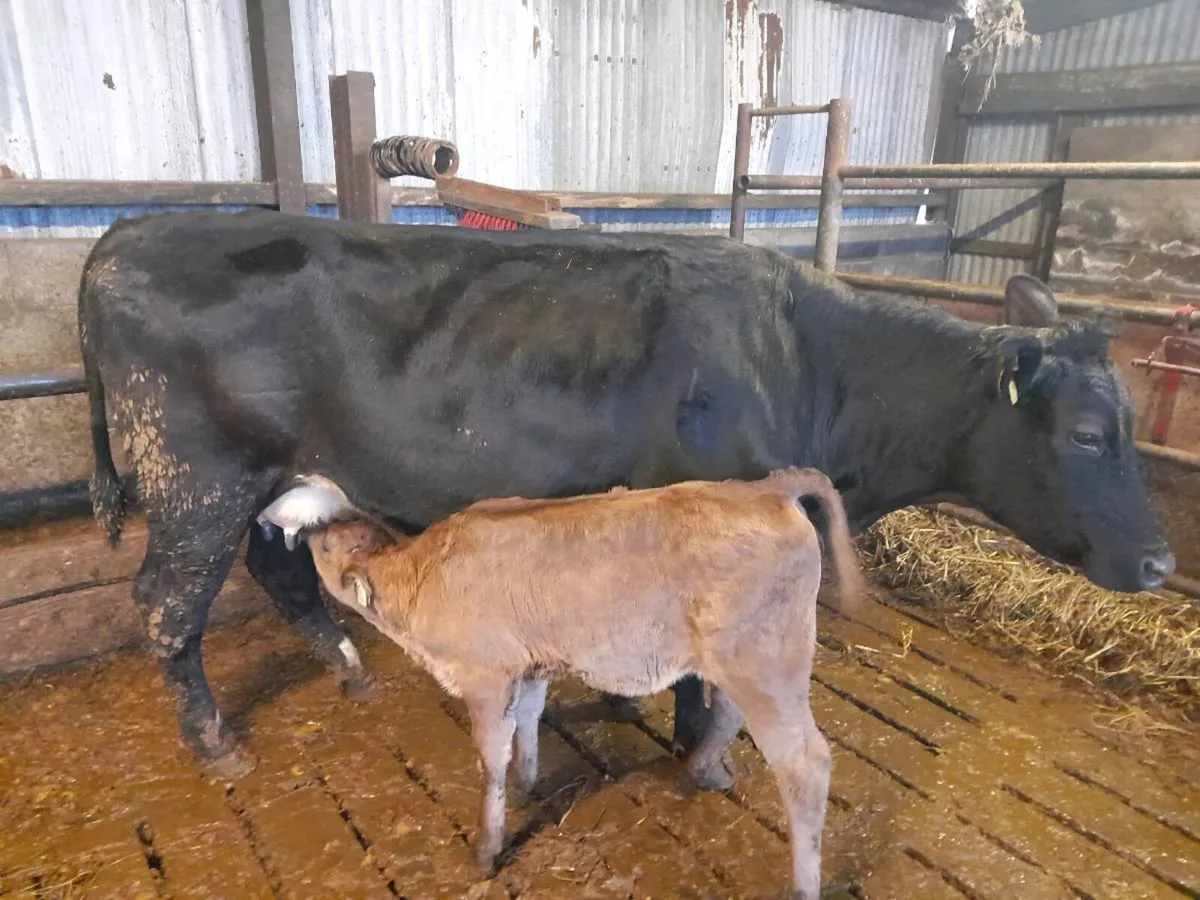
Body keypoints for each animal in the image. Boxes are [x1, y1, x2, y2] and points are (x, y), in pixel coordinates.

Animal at [78, 209, 1172, 774]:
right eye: (1086, 432)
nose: (1163, 561)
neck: (809, 364)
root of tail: (137, 226)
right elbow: (697, 670)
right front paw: (697, 751)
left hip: (277, 482)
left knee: (278, 570)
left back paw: (346, 670)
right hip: (195, 479)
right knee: (166, 607)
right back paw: (215, 743)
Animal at [262, 467, 863, 899]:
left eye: (324, 547)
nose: (289, 537)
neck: (421, 576)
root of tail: (763, 486)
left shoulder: (486, 675)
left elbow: (490, 756)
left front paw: (486, 847)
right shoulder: (533, 664)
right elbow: (528, 721)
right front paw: (527, 784)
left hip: (765, 662)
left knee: (805, 764)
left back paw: (801, 885)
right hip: (745, 660)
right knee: (731, 715)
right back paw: (699, 770)